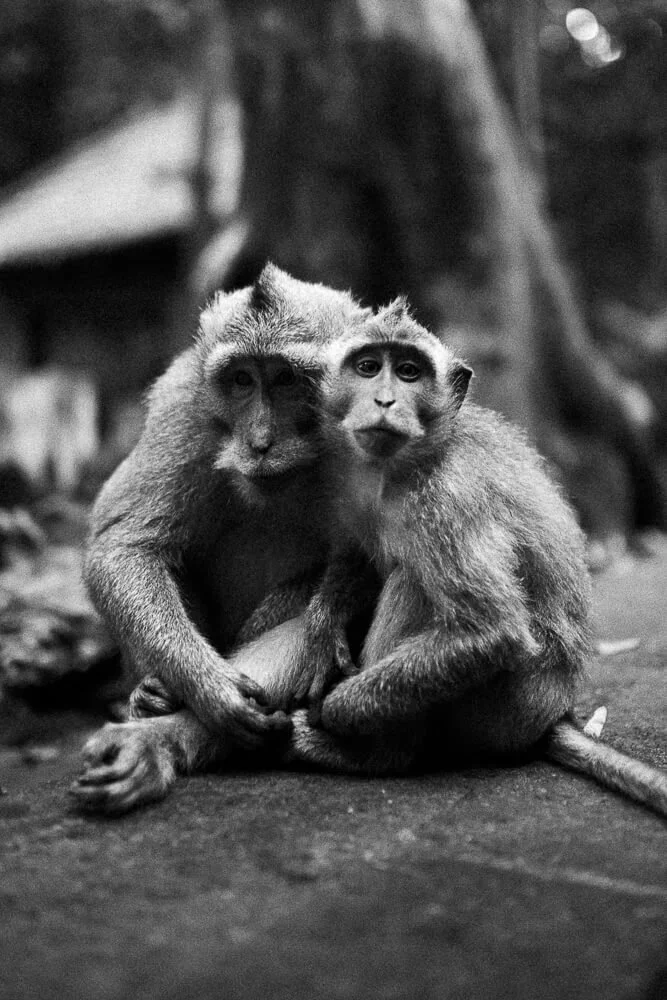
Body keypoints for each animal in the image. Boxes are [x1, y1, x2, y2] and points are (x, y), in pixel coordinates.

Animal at [281, 299, 667, 817]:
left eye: (409, 372)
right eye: (367, 367)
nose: (384, 401)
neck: (403, 466)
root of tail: (557, 710)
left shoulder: (449, 499)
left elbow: (491, 630)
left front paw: (335, 710)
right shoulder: (349, 476)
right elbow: (359, 557)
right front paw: (324, 628)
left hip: (510, 705)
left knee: (415, 581)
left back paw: (379, 754)